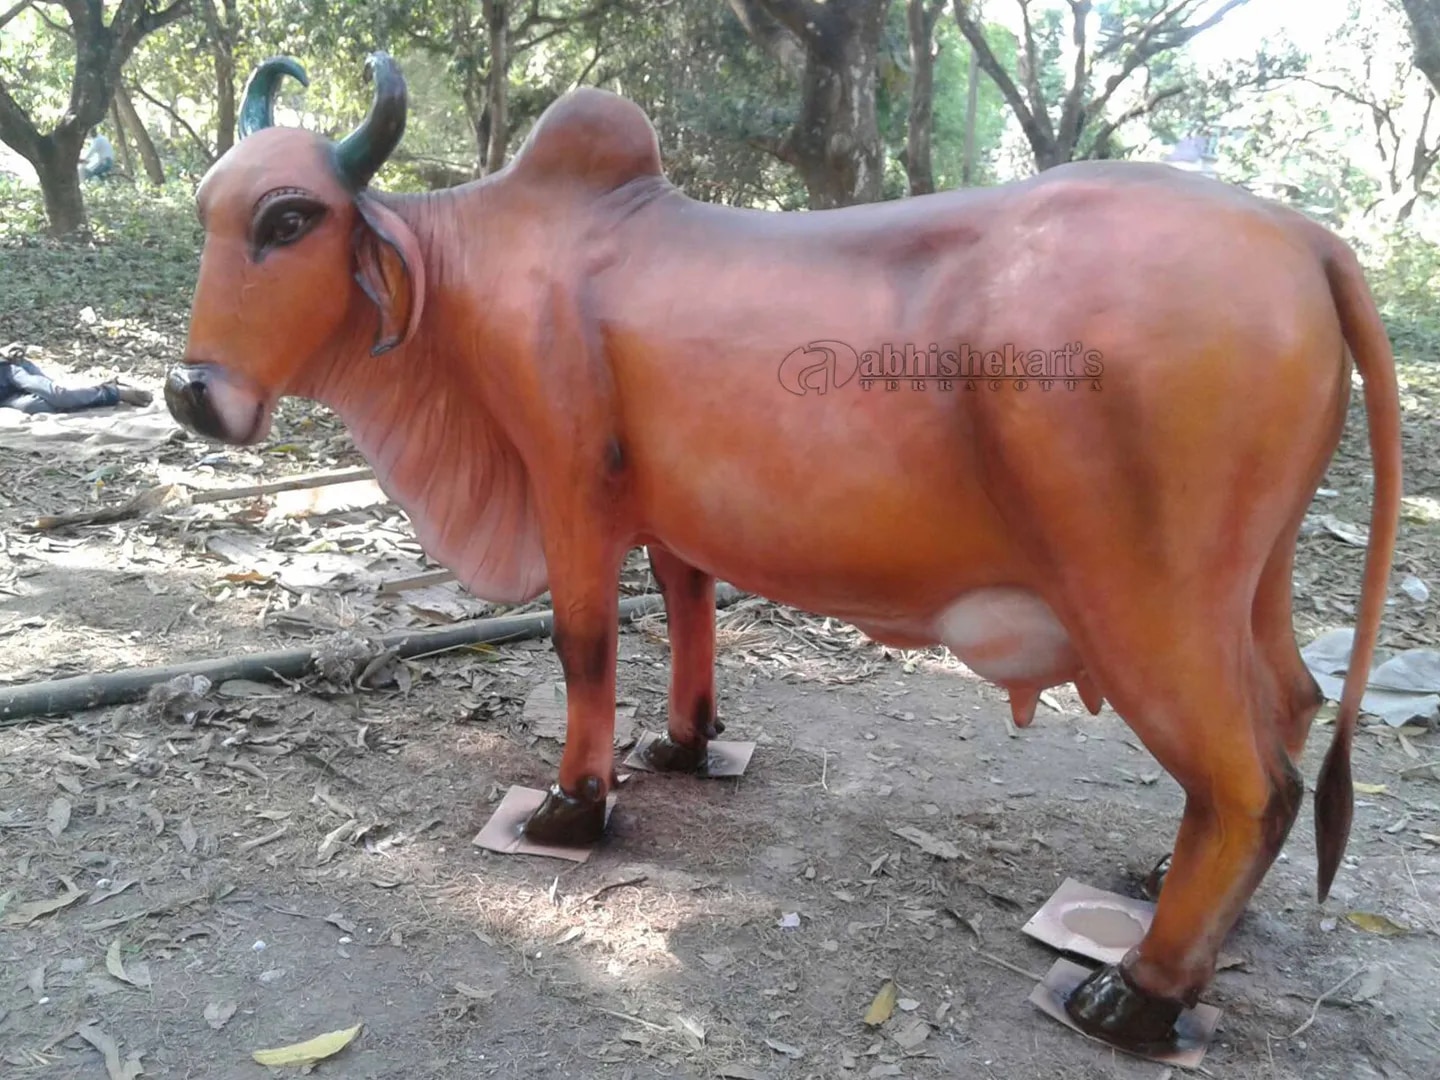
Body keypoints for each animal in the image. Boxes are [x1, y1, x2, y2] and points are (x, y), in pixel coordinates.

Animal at [165, 53, 1402, 1055]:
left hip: (1146, 596)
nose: (189, 393)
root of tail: (1304, 237)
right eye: (207, 210)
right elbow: (690, 606)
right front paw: (682, 743)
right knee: (1288, 708)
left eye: (289, 219)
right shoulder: (666, 510)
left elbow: (584, 644)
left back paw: (1136, 993)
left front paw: (573, 805)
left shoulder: (570, 488)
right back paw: (1169, 892)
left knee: (1250, 783)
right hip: (1252, 582)